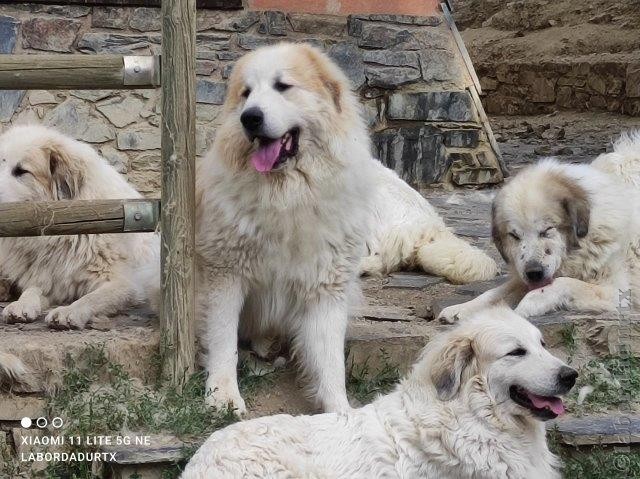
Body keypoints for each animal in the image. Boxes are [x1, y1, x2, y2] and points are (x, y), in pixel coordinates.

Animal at [195, 43, 376, 414]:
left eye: (282, 86)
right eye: (246, 93)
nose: (249, 117)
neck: (287, 195)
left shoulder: (327, 287)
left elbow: (330, 360)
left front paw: (339, 411)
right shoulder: (224, 274)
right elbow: (223, 339)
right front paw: (222, 395)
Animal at [440, 131, 640, 322]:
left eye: (547, 231)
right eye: (514, 236)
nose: (534, 273)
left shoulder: (617, 291)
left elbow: (561, 283)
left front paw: (529, 304)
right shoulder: (522, 274)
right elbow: (494, 293)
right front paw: (461, 308)